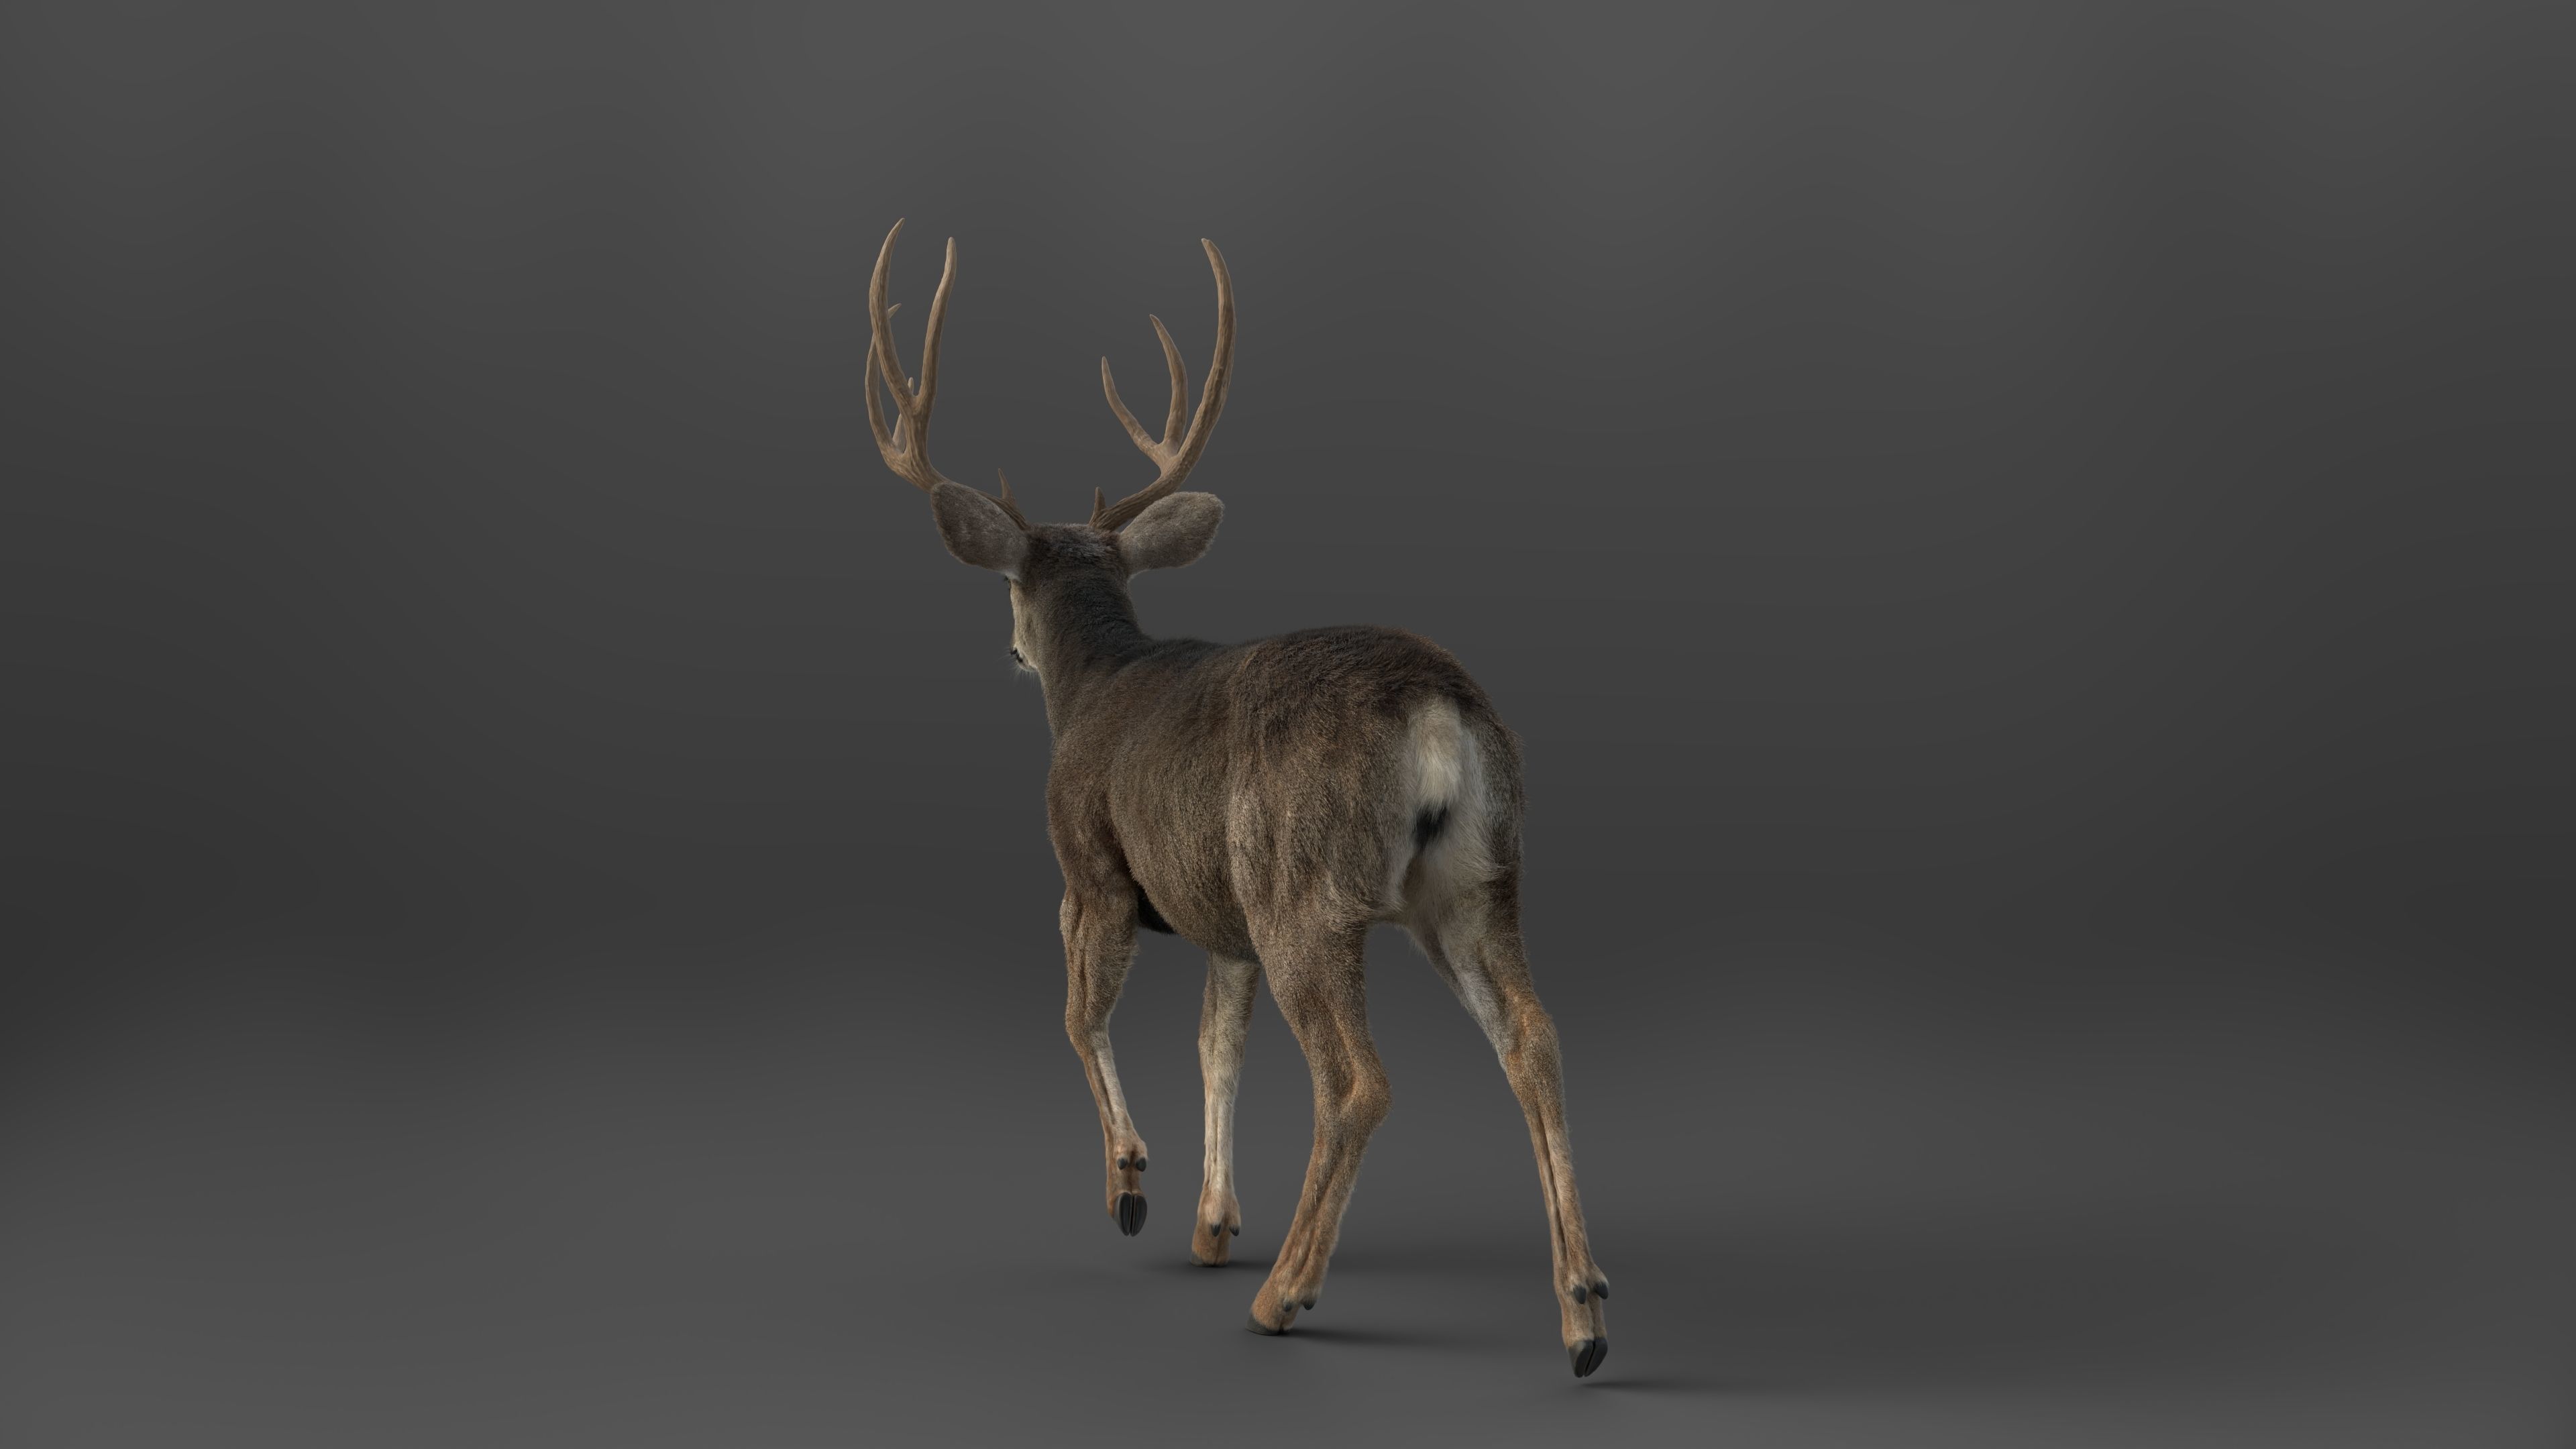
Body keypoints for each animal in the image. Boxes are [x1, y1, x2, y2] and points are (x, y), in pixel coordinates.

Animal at [860, 220, 1612, 1377]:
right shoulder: (1223, 923)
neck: (1100, 679)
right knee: (1534, 1038)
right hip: (1477, 879)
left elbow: (1079, 1016)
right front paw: (1212, 1223)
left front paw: (1132, 1185)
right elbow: (1218, 1049)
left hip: (1306, 888)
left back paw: (1286, 1294)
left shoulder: (1092, 869)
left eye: (1010, 587)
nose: (1011, 647)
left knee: (1358, 1081)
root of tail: (1436, 710)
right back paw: (1583, 1314)